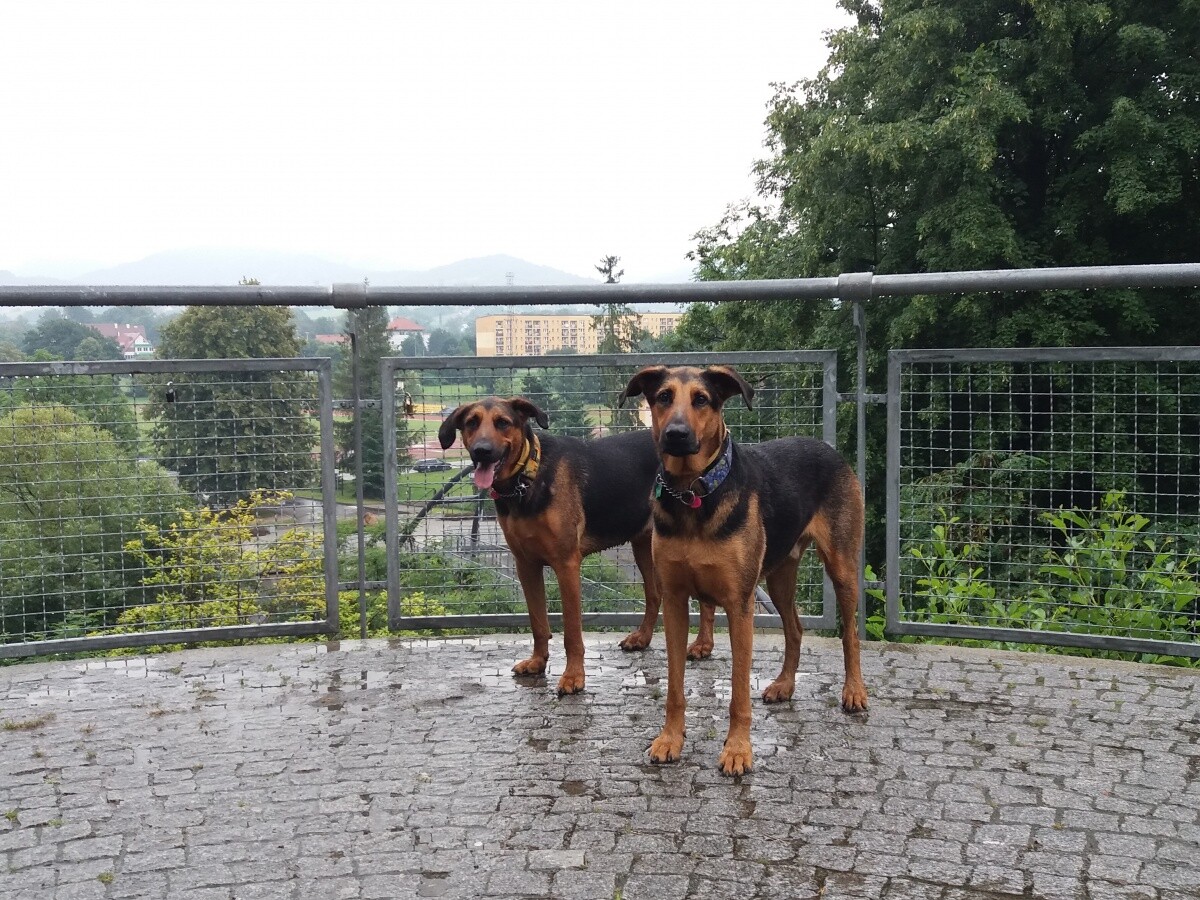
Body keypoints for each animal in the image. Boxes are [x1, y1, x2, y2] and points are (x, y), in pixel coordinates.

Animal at [439, 396, 682, 695]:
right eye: (471, 423)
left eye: (502, 422)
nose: (481, 451)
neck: (527, 479)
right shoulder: (525, 565)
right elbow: (538, 623)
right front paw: (537, 662)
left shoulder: (566, 565)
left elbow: (571, 633)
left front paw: (573, 676)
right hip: (643, 544)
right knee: (654, 594)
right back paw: (643, 638)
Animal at [619, 364, 868, 775]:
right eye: (663, 397)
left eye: (702, 399)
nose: (676, 435)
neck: (694, 493)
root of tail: (827, 448)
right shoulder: (675, 601)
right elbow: (674, 686)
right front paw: (670, 739)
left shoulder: (739, 605)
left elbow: (738, 692)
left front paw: (737, 750)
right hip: (780, 577)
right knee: (795, 628)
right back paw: (784, 685)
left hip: (842, 567)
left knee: (850, 634)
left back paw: (854, 691)